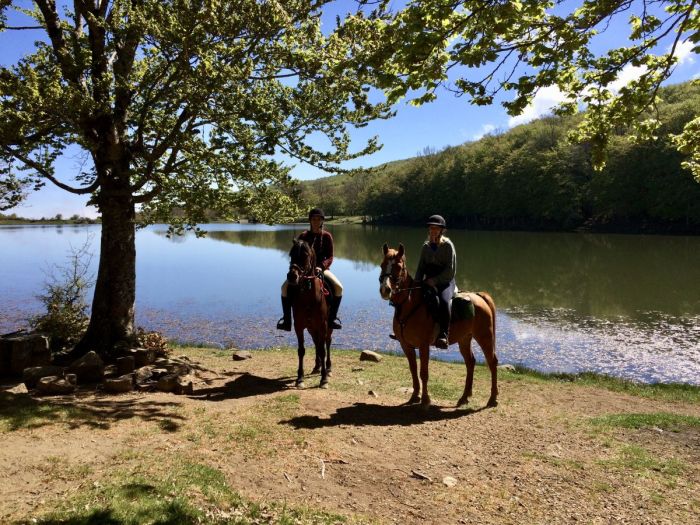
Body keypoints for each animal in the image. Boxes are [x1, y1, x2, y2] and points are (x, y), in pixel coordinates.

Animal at [288, 239, 336, 386]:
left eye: (305, 255)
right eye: (291, 254)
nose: (292, 276)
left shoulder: (322, 325)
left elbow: (322, 350)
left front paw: (324, 379)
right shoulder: (299, 326)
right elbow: (301, 350)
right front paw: (300, 377)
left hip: (327, 327)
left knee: (326, 343)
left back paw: (328, 368)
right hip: (311, 328)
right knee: (317, 343)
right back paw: (317, 366)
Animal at [380, 244, 500, 408]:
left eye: (398, 267)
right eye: (382, 265)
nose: (385, 290)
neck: (411, 304)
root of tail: (479, 296)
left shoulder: (423, 346)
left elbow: (423, 373)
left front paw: (425, 400)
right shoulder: (406, 345)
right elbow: (413, 370)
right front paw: (414, 396)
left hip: (484, 337)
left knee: (492, 362)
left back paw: (492, 399)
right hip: (464, 339)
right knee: (470, 363)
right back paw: (464, 397)